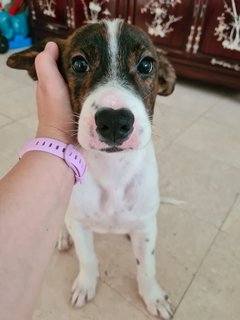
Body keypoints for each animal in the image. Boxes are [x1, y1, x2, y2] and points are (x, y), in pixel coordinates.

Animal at [7, 18, 176, 318]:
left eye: (146, 65)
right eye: (79, 64)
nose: (114, 121)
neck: (112, 171)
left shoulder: (146, 227)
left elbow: (147, 267)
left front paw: (153, 297)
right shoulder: (80, 224)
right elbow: (87, 258)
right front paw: (86, 284)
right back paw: (62, 236)